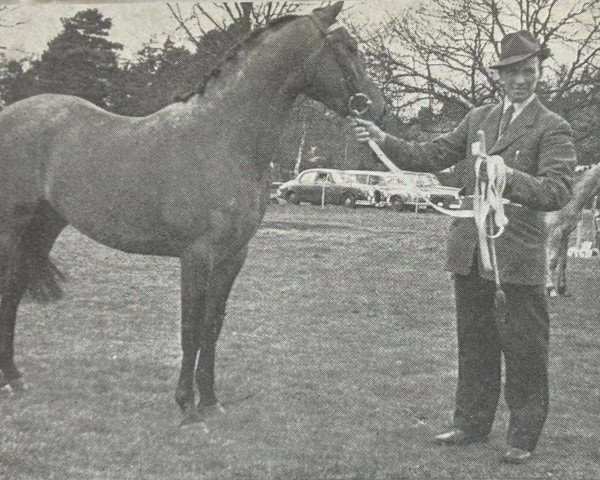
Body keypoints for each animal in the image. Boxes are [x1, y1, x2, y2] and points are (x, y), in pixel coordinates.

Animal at [0, 2, 384, 424]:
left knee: (14, 291)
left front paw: (211, 401)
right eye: (348, 47)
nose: (378, 106)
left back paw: (15, 377)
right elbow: (191, 328)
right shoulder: (197, 256)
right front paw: (186, 405)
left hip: (43, 226)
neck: (222, 140)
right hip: (11, 228)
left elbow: (212, 327)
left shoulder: (232, 256)